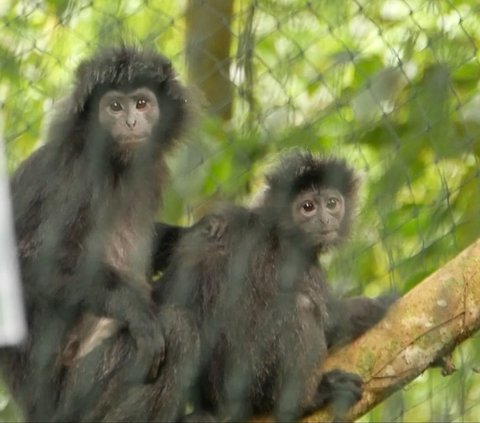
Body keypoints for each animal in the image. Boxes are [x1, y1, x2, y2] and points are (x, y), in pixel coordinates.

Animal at [0, 44, 198, 422]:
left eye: (141, 103)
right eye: (115, 107)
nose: (131, 122)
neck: (114, 164)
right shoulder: (70, 177)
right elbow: (26, 262)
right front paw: (134, 309)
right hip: (74, 396)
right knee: (177, 329)